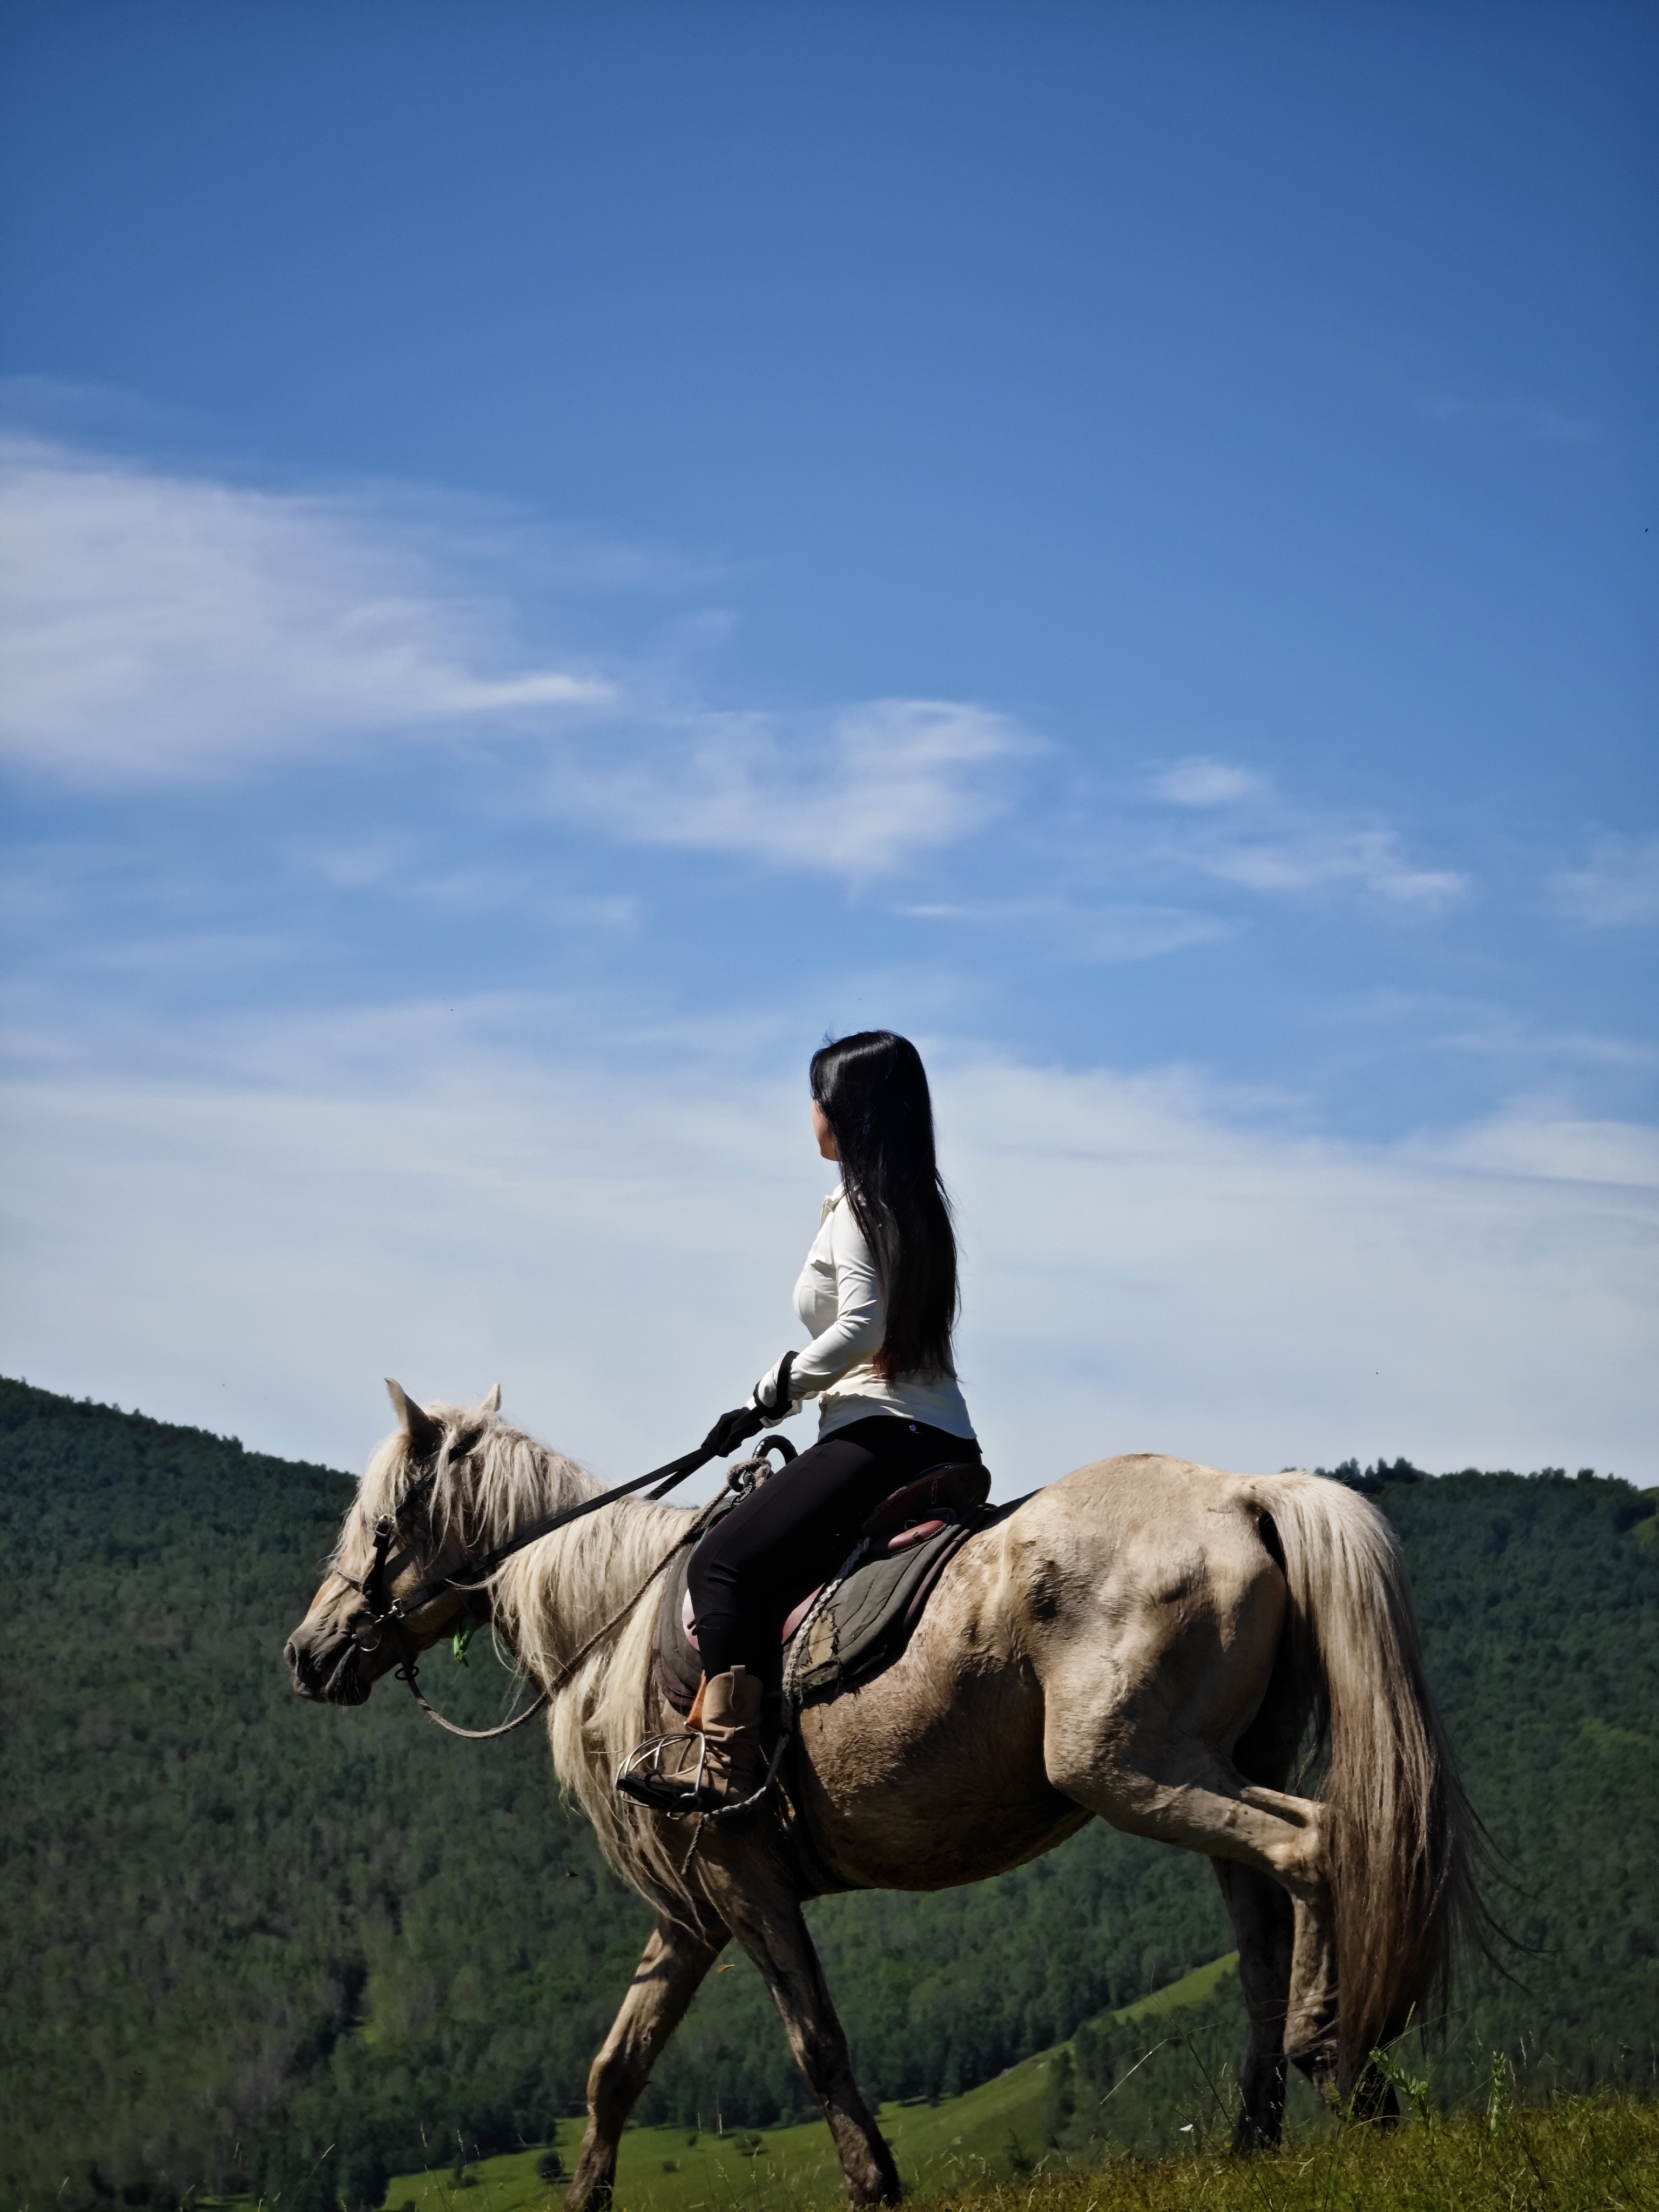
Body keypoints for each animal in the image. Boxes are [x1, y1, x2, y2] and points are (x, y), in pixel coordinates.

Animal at [285, 1383, 1480, 2207]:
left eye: (381, 1523)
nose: (308, 1653)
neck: (617, 1627)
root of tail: (1241, 1494)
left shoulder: (742, 1875)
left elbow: (816, 2040)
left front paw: (876, 2185)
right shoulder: (692, 1909)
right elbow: (615, 2068)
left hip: (1136, 1768)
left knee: (1314, 1849)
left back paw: (1339, 2062)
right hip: (1213, 1766)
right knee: (1263, 1932)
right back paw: (1261, 2133)